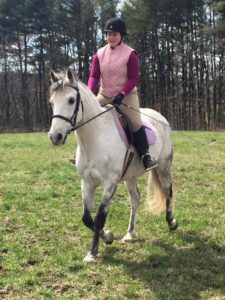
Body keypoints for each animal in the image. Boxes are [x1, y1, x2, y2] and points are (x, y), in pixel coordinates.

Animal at [48, 68, 178, 262]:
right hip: (130, 176)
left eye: (71, 100)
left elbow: (100, 217)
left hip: (163, 165)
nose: (55, 136)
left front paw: (92, 253)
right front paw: (107, 236)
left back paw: (171, 222)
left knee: (168, 191)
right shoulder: (87, 182)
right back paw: (130, 234)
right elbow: (87, 218)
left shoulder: (110, 183)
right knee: (135, 198)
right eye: (52, 102)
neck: (95, 139)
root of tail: (160, 116)